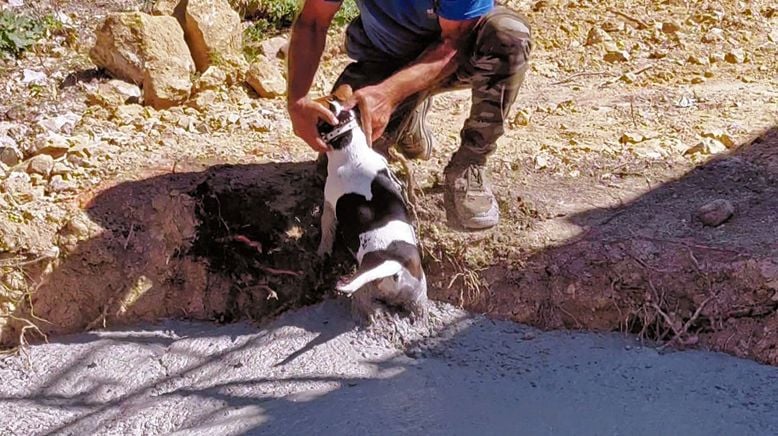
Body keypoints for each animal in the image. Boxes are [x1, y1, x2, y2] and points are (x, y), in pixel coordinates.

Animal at [314, 87, 424, 322]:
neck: (351, 148)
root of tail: (394, 267)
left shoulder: (329, 205)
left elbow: (326, 232)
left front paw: (322, 251)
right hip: (418, 297)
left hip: (366, 286)